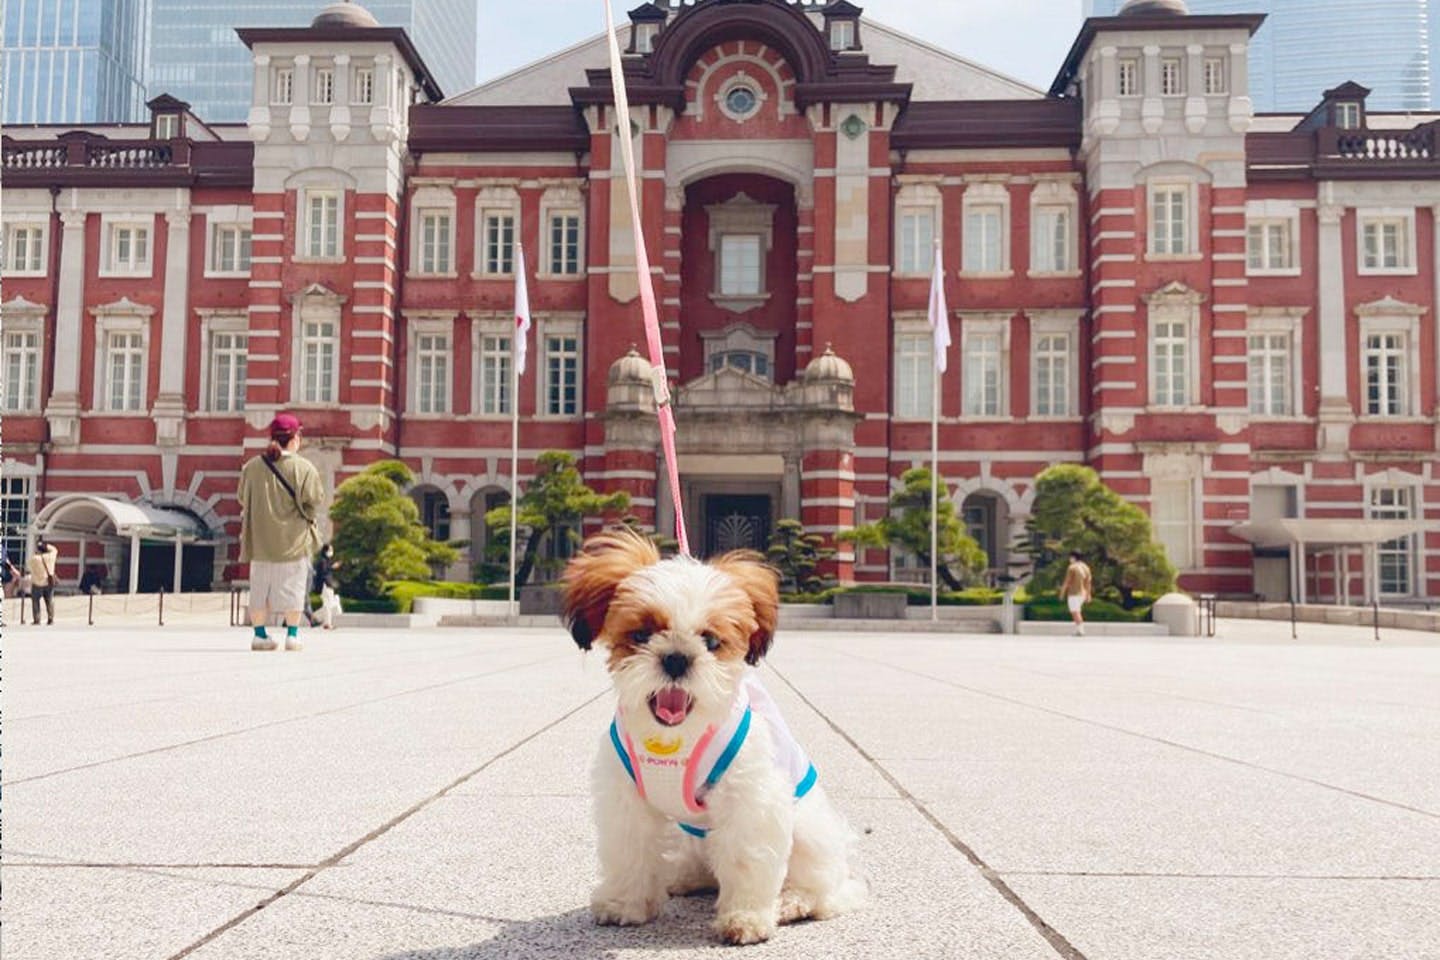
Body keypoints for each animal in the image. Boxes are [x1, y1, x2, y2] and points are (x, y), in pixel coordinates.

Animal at [561, 532, 858, 944]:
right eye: (642, 634)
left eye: (711, 641)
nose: (676, 657)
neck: (673, 737)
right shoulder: (627, 798)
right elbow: (630, 851)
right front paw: (624, 903)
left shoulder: (750, 801)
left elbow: (747, 858)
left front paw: (745, 919)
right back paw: (684, 878)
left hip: (808, 830)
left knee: (823, 891)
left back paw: (791, 902)